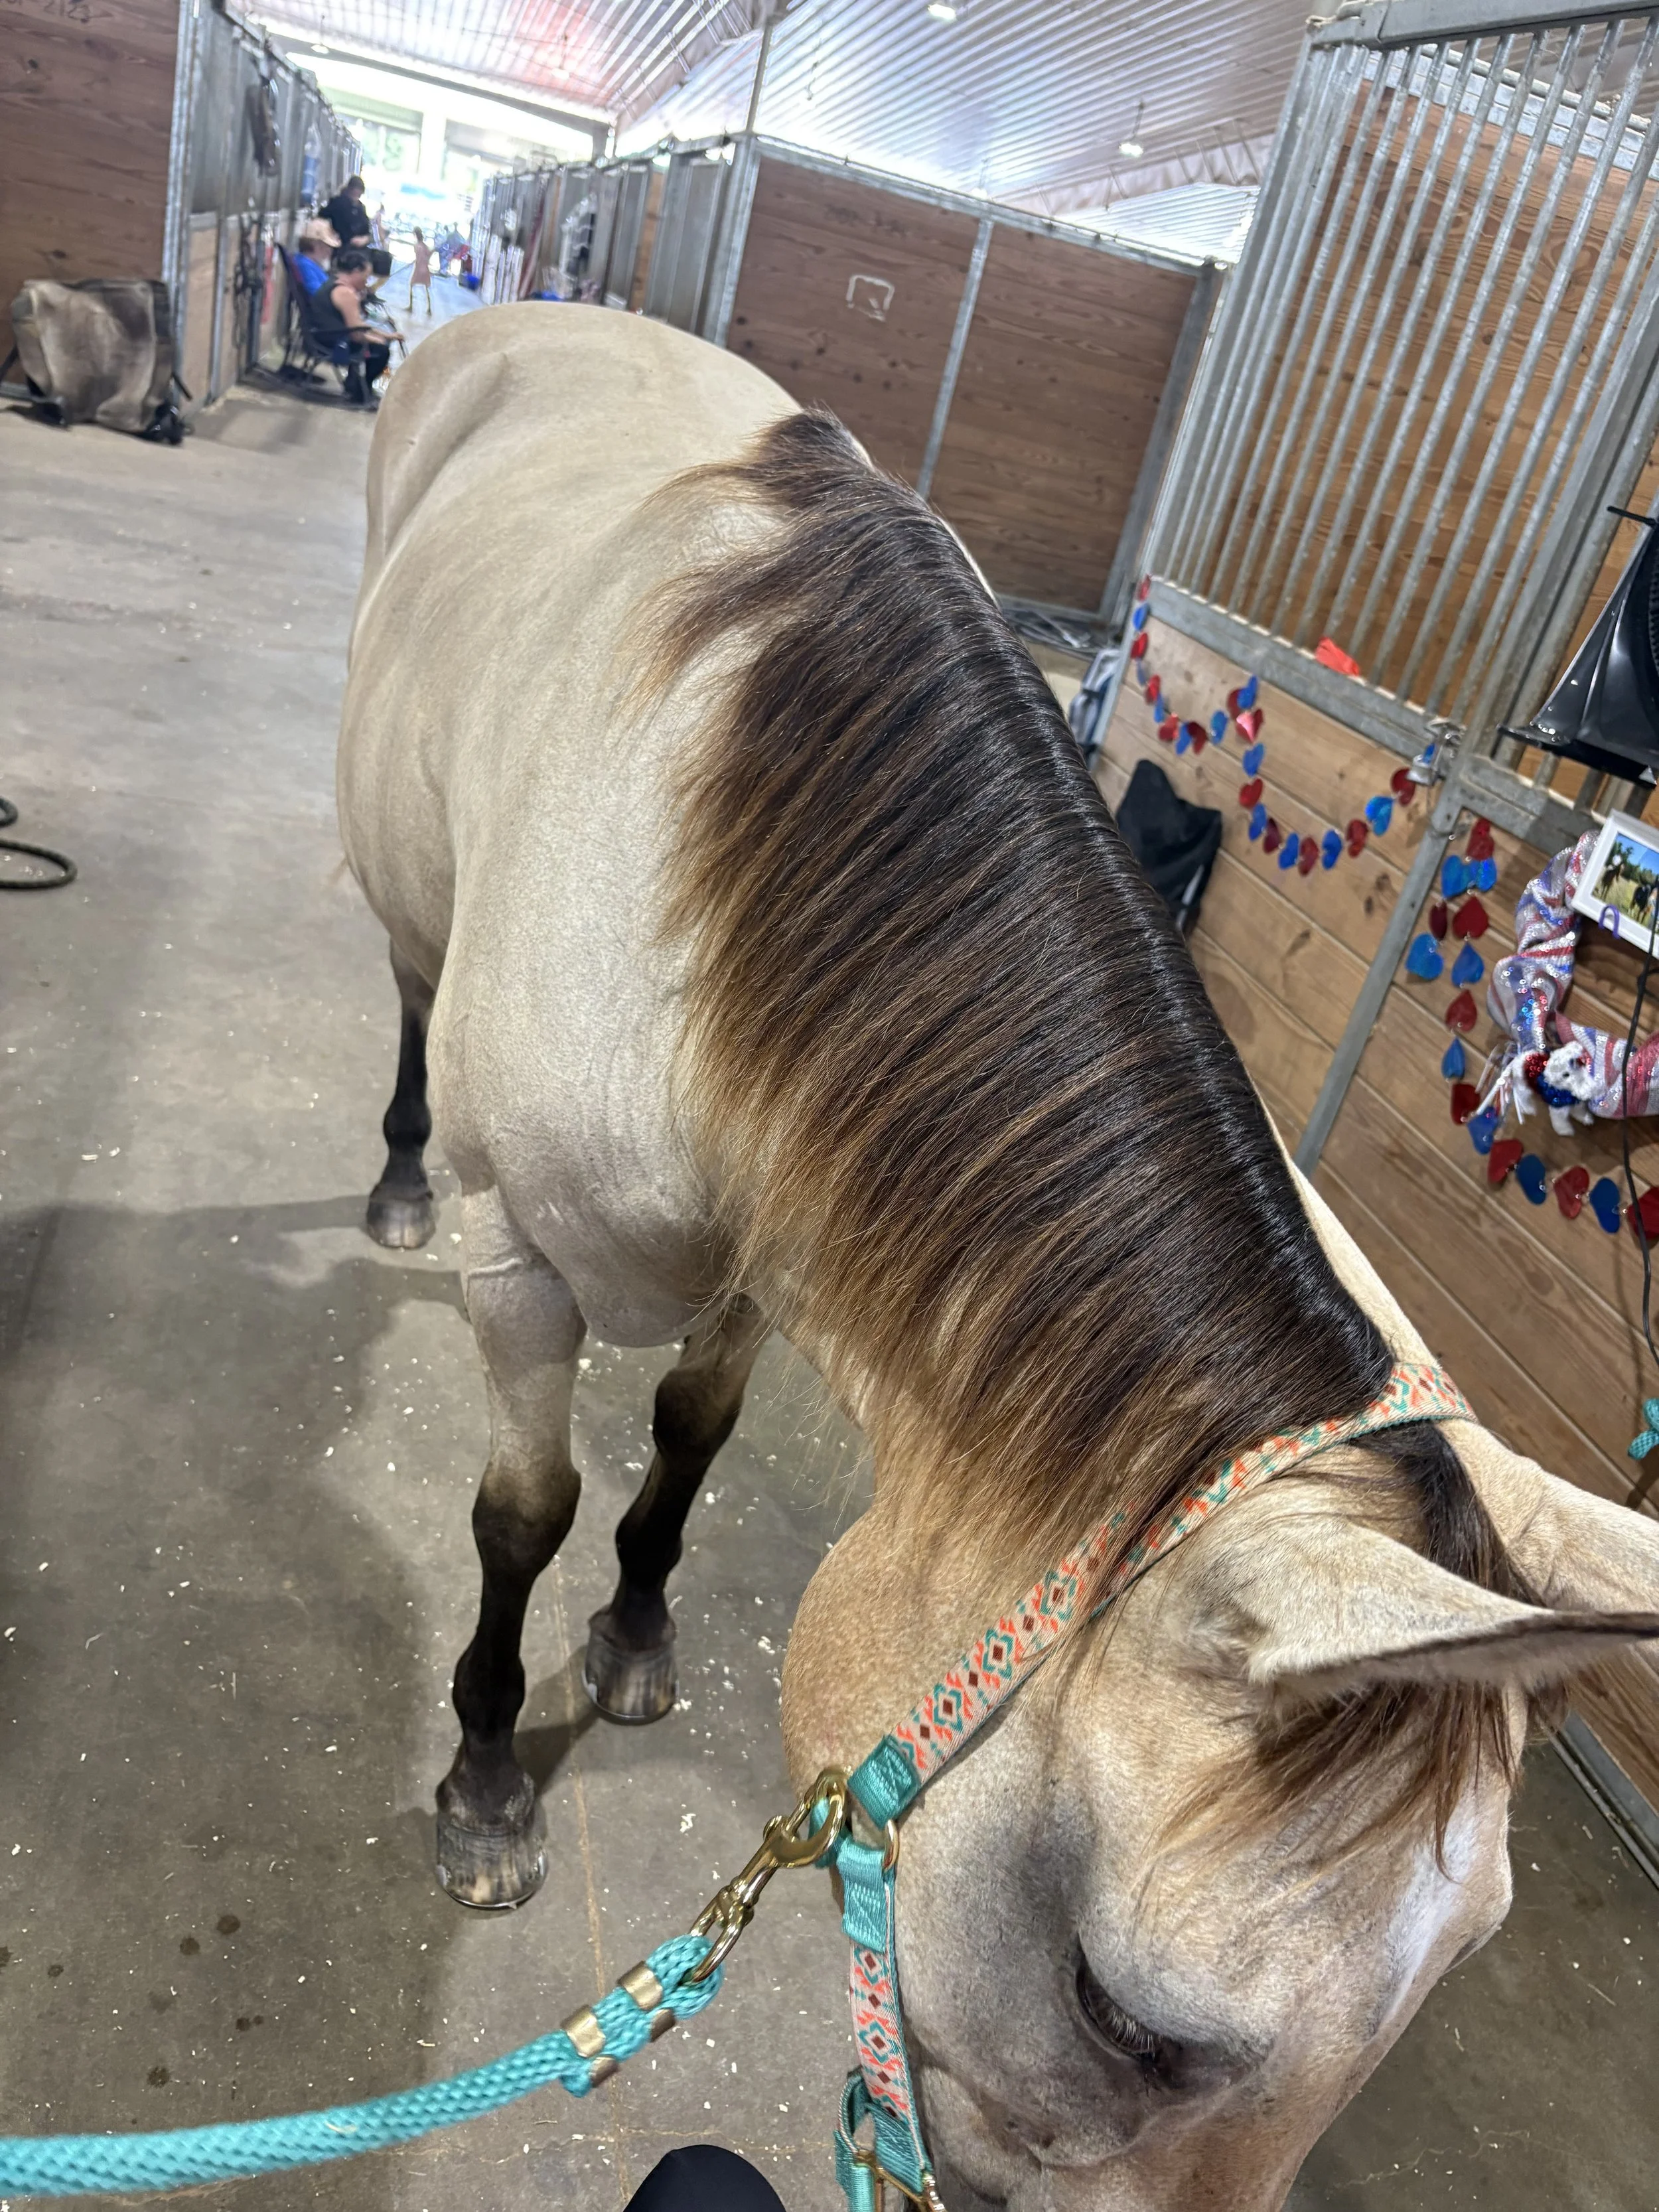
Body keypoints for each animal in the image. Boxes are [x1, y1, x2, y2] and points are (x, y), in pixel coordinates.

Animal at [337, 305, 1659, 2211]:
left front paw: (639, 1635)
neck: (708, 848)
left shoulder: (770, 1261)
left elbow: (682, 1445)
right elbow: (522, 1513)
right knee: (403, 989)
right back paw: (385, 1177)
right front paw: (487, 1781)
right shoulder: (518, 1264)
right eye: (1125, 2015)